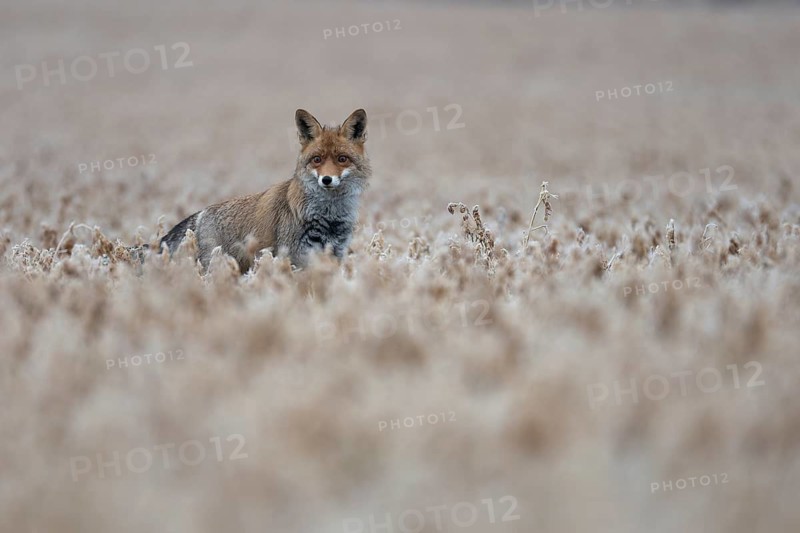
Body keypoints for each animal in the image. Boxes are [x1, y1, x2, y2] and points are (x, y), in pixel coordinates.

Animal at [159, 108, 370, 272]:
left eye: (342, 159)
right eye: (317, 159)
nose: (326, 179)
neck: (330, 216)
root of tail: (201, 214)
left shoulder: (334, 254)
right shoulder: (296, 258)